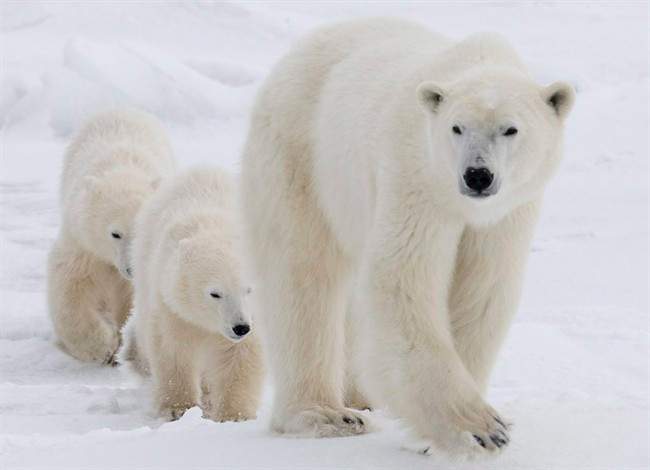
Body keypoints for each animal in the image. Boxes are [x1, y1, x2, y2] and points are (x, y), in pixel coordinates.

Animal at [47, 108, 175, 364]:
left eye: (142, 231)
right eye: (115, 233)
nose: (131, 269)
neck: (122, 169)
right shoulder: (82, 240)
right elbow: (70, 283)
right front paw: (103, 347)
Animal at [124, 167, 263, 422]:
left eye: (249, 289)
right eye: (215, 293)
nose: (240, 327)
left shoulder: (255, 316)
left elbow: (241, 356)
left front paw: (234, 415)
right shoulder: (171, 303)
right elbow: (173, 348)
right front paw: (178, 409)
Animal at [239, 18, 574, 452]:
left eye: (510, 129)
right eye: (456, 127)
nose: (477, 175)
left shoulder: (506, 215)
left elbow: (482, 292)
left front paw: (440, 436)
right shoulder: (416, 177)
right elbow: (402, 281)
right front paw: (481, 428)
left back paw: (360, 397)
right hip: (302, 154)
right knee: (303, 275)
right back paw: (325, 413)